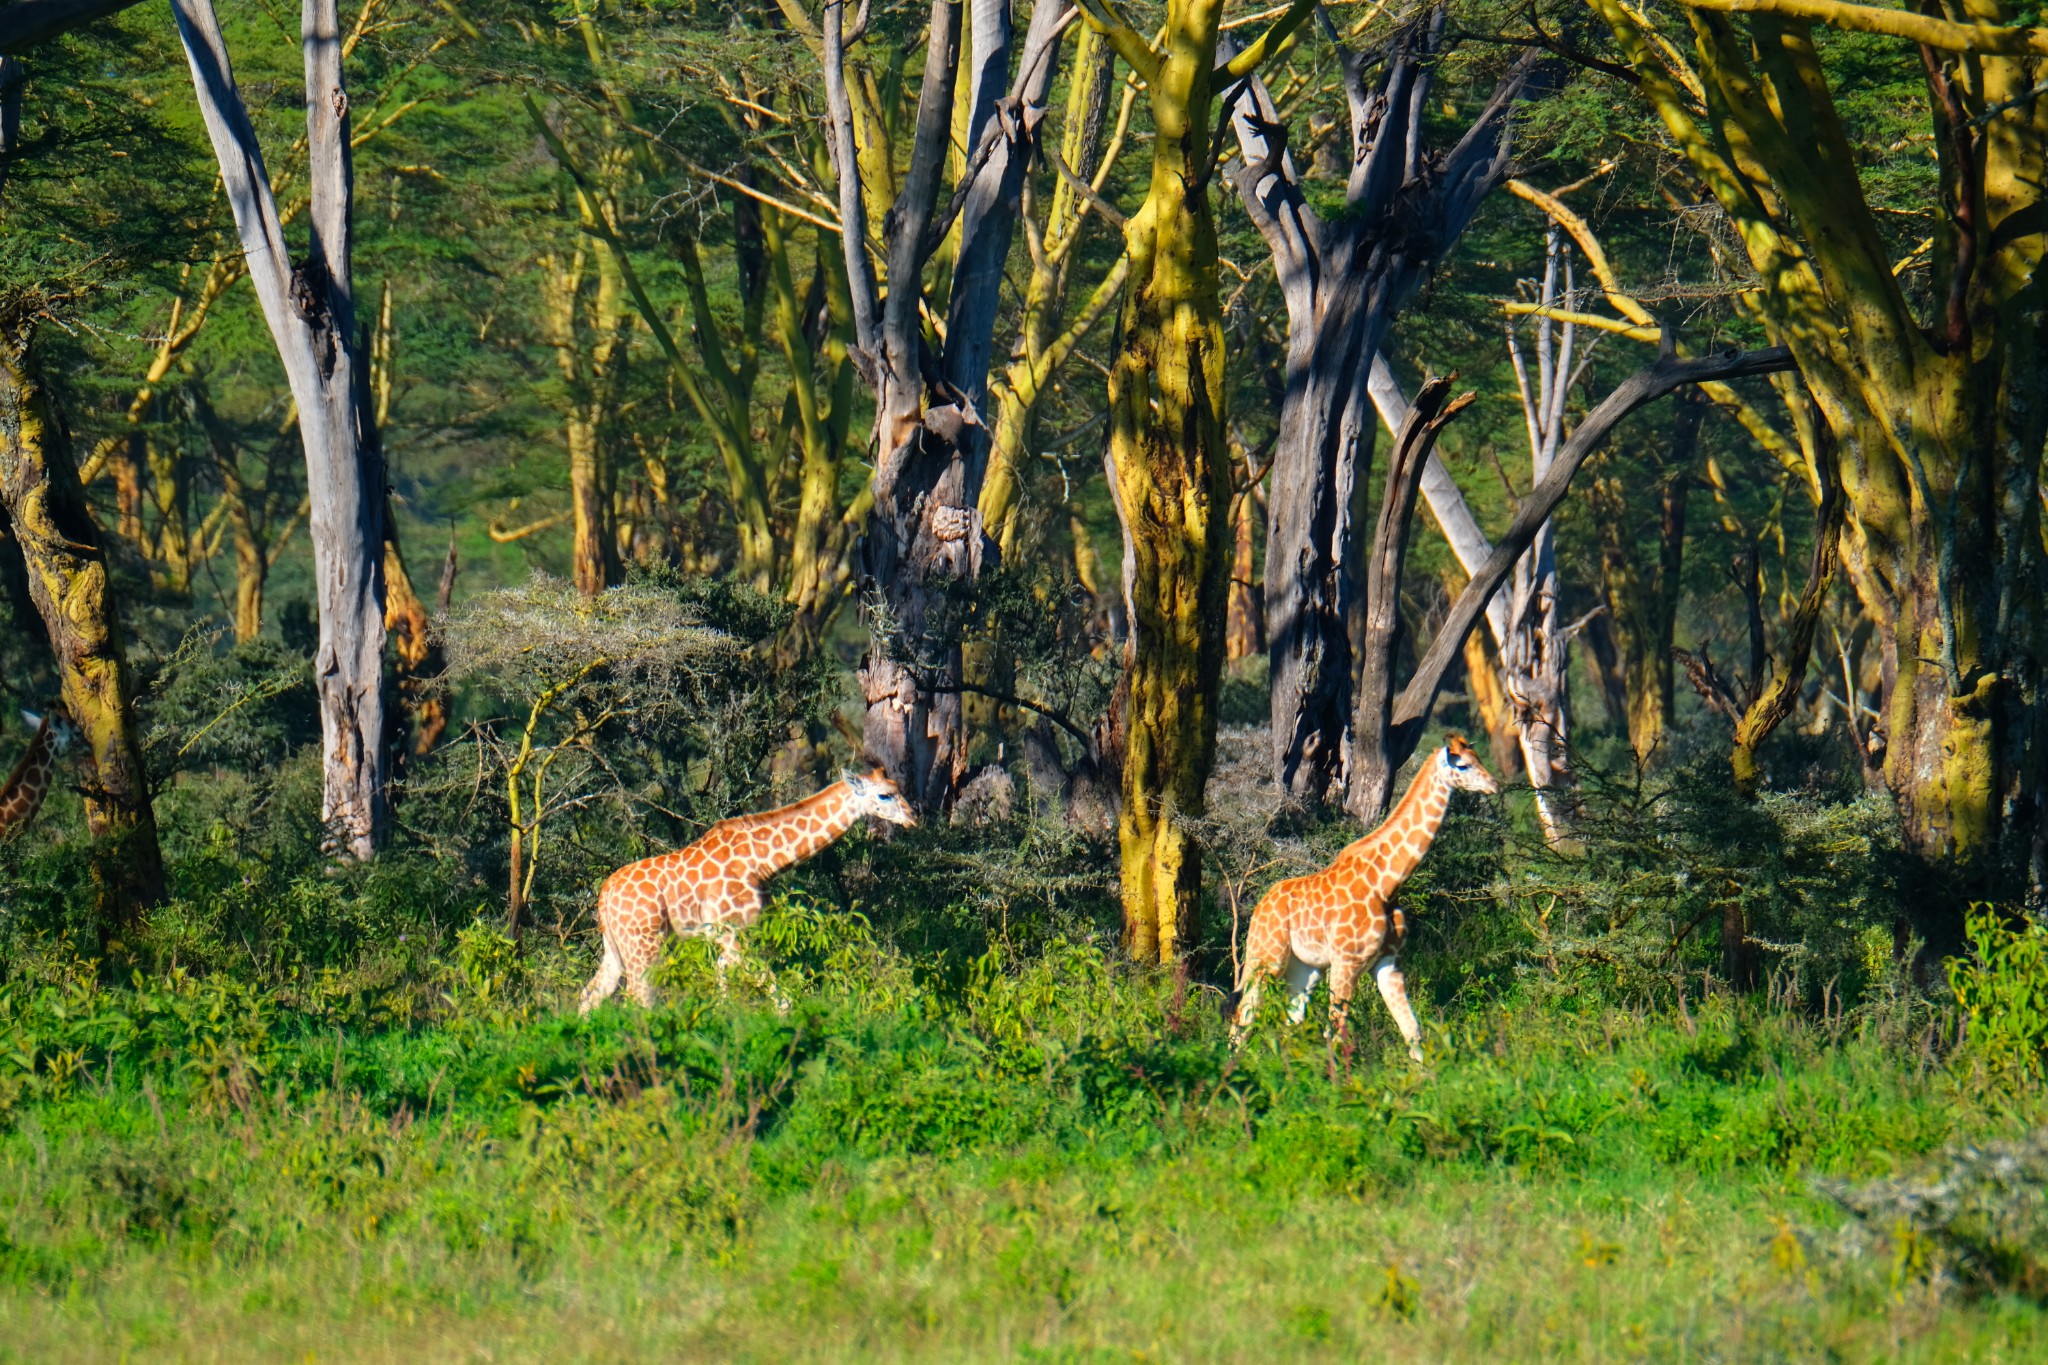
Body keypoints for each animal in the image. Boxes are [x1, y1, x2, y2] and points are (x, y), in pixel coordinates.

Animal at [585, 769, 921, 1015]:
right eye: (884, 794)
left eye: (898, 788)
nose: (913, 818)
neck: (763, 863)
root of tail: (605, 894)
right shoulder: (733, 935)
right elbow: (782, 999)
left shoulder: (733, 939)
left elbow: (725, 992)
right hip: (644, 944)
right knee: (639, 997)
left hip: (615, 946)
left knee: (592, 994)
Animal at [1220, 736, 1499, 1064]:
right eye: (1464, 765)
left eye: (1478, 758)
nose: (1493, 784)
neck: (1386, 884)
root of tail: (1261, 904)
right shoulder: (1347, 961)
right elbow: (1336, 1032)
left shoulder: (1389, 963)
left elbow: (1412, 1030)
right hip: (1267, 956)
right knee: (1245, 1012)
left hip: (1305, 968)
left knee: (1290, 1020)